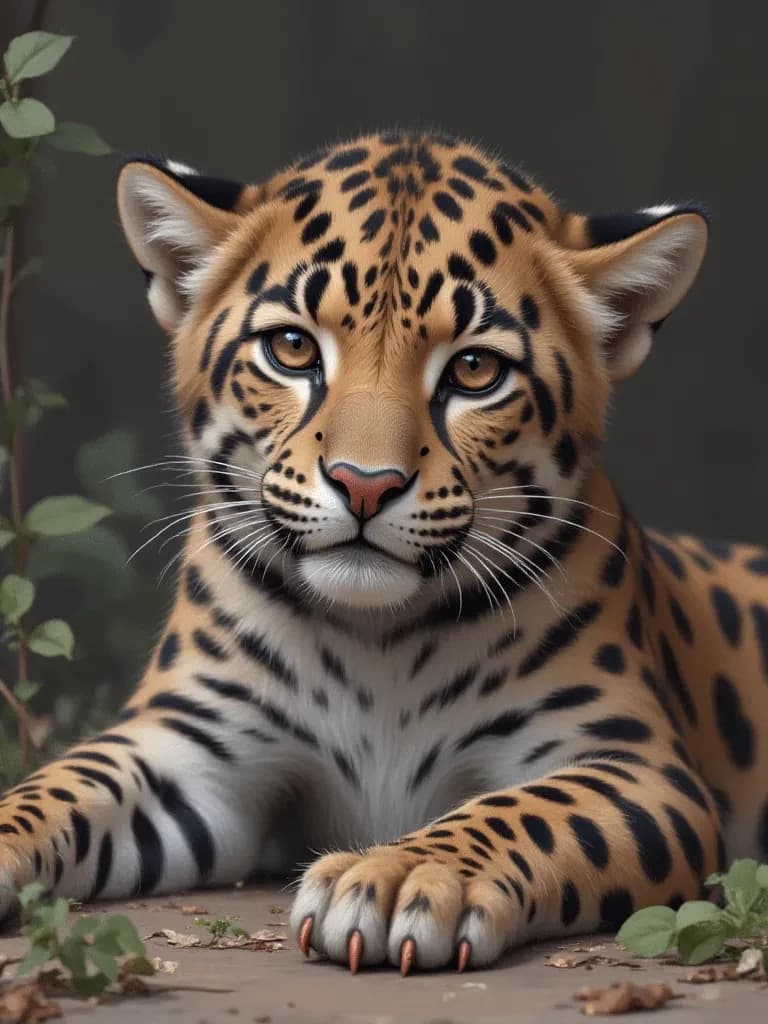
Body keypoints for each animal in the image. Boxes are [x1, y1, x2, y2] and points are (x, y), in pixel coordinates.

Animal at [0, 128, 766, 976]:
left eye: (475, 369)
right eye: (292, 348)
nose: (365, 484)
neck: (377, 639)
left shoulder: (634, 763)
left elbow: (527, 809)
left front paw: (402, 876)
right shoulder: (189, 749)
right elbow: (61, 783)